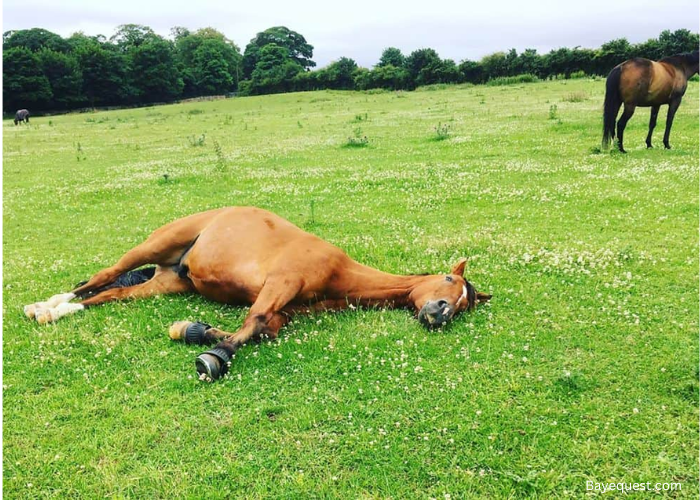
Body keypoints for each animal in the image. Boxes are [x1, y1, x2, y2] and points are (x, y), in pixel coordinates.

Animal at [24, 207, 492, 381]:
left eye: (464, 306)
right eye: (449, 282)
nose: (440, 313)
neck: (338, 272)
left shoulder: (290, 310)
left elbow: (265, 328)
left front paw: (198, 331)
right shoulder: (280, 284)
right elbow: (255, 321)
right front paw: (214, 358)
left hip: (165, 283)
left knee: (105, 296)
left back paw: (54, 311)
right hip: (153, 246)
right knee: (103, 276)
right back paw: (45, 305)